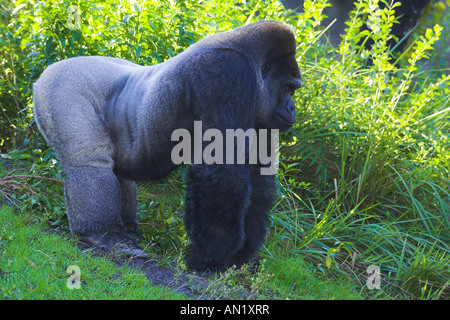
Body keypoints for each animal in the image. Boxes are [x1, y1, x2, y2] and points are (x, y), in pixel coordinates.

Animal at [32, 20, 302, 272]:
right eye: (287, 87)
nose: (292, 108)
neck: (248, 58)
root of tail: (43, 76)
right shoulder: (226, 72)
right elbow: (223, 171)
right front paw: (210, 257)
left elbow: (258, 179)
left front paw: (240, 257)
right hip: (62, 87)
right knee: (90, 160)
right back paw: (101, 233)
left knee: (119, 171)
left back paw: (126, 230)